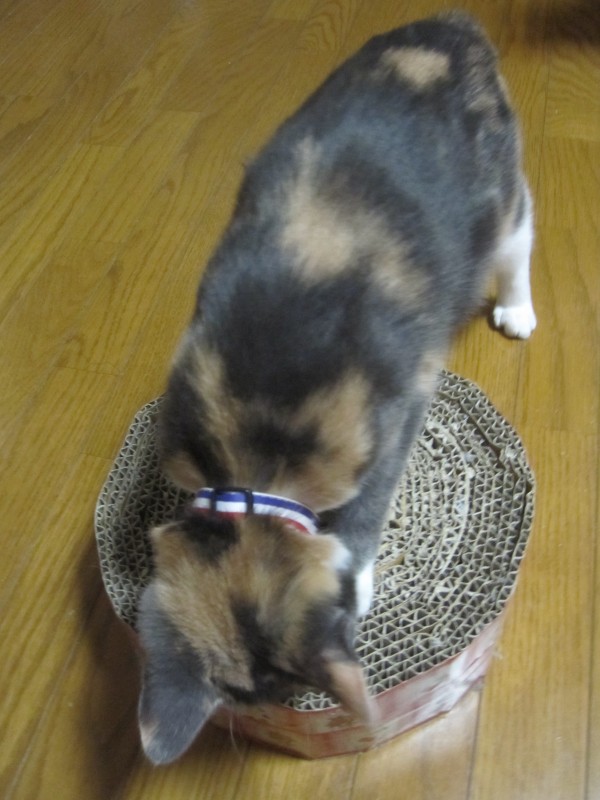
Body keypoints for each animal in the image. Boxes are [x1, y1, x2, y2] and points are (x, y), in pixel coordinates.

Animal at [136, 10, 536, 764]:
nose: (280, 703)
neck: (253, 467)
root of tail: (452, 25)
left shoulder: (397, 409)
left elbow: (365, 508)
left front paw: (362, 570)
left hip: (496, 180)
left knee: (520, 227)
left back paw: (518, 307)